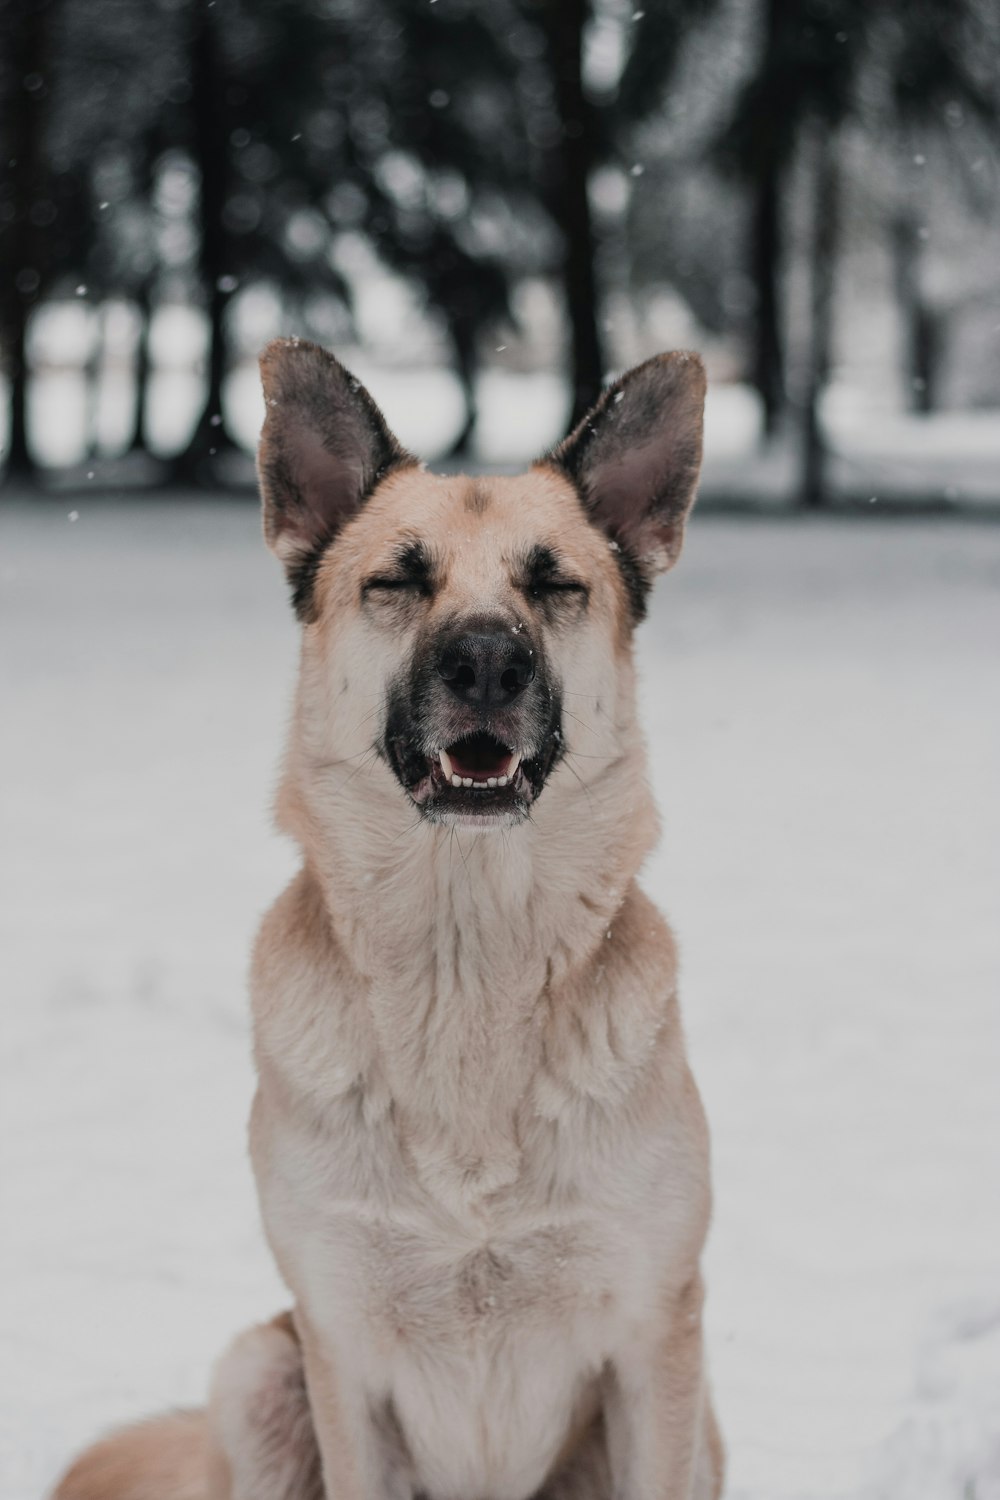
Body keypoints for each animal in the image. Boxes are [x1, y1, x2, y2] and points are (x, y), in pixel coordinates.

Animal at [52, 343, 719, 1500]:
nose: (488, 662)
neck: (465, 962)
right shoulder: (342, 1357)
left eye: (554, 583)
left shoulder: (655, 1345)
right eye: (398, 582)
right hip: (257, 1371)